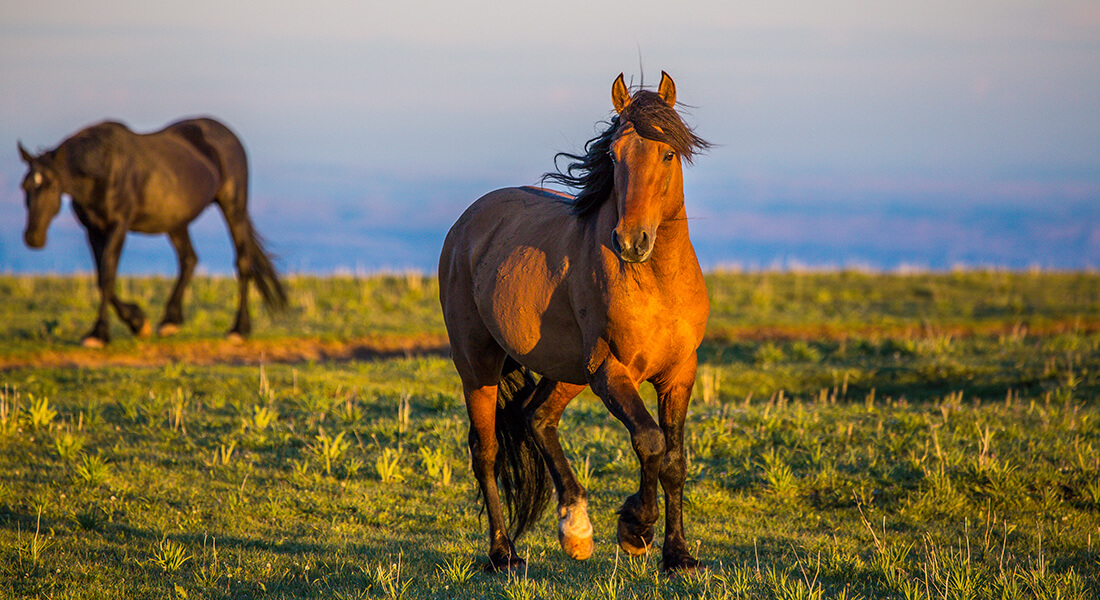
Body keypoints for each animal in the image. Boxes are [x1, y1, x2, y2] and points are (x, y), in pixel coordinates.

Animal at [19, 116, 286, 345]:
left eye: (53, 186)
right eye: (25, 187)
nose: (33, 237)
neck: (104, 169)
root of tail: (226, 133)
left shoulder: (119, 225)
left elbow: (107, 275)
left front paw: (100, 334)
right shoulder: (93, 230)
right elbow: (101, 278)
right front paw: (138, 322)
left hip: (233, 207)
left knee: (242, 261)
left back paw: (238, 329)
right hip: (176, 221)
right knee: (189, 259)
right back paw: (170, 321)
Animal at [440, 72, 712, 572]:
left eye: (667, 153)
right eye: (613, 154)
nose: (630, 241)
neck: (656, 281)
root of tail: (466, 225)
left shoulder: (679, 374)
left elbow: (675, 461)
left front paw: (678, 554)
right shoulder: (611, 370)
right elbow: (650, 440)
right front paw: (635, 529)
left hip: (566, 370)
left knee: (537, 417)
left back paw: (575, 528)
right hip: (478, 365)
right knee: (486, 453)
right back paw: (503, 554)